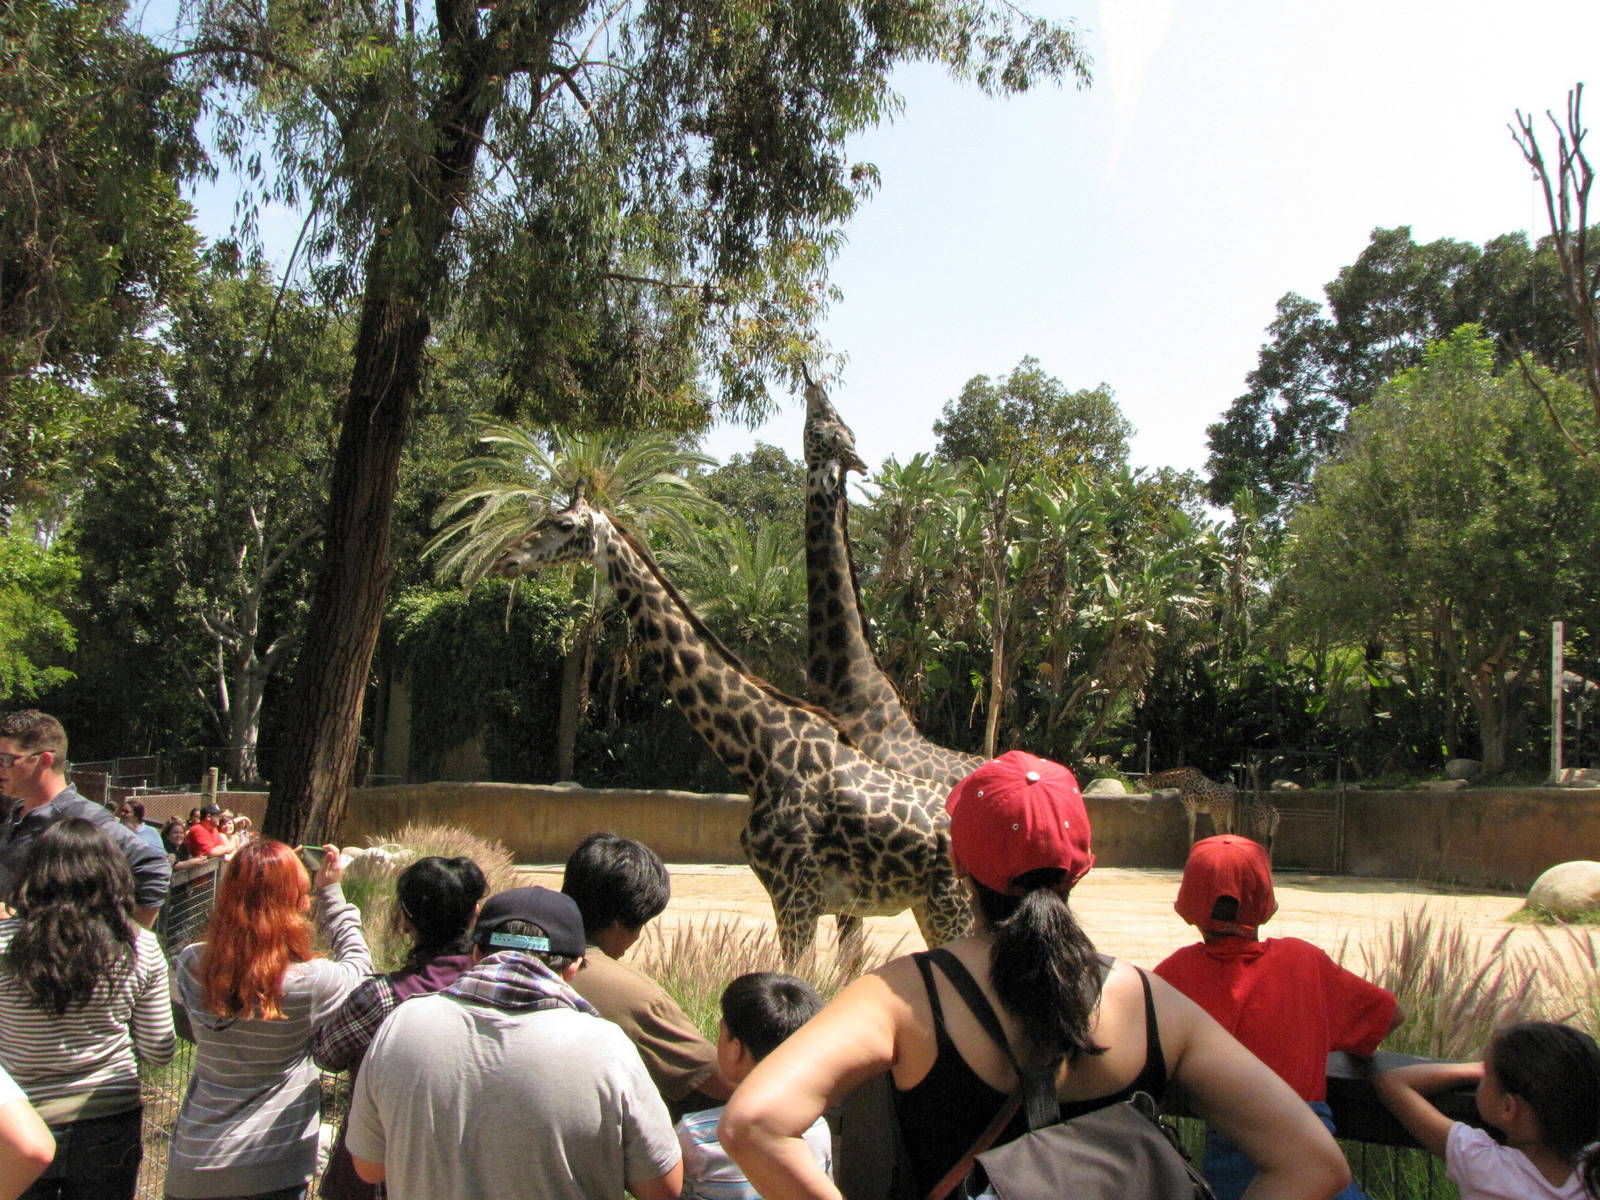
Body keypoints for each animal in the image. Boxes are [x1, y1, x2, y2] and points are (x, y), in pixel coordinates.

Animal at [491, 493, 973, 964]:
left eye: (564, 525)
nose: (505, 558)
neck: (758, 751)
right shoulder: (800, 897)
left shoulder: (796, 893)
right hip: (931, 905)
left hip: (952, 906)